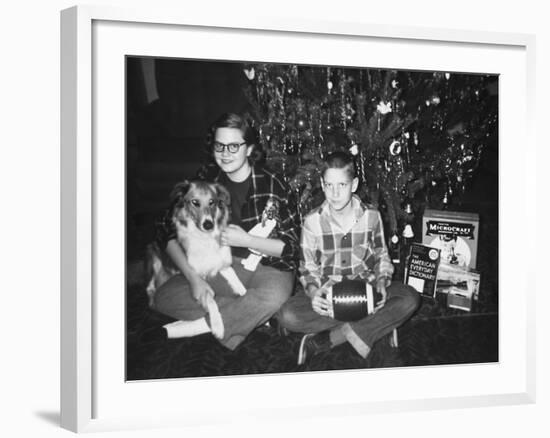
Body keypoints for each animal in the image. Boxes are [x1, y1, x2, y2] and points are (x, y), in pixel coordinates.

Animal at [148, 180, 249, 340]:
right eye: (195, 202)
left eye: (212, 202)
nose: (208, 225)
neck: (205, 238)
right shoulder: (199, 280)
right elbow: (211, 300)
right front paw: (217, 326)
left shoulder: (223, 264)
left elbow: (236, 280)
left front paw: (242, 291)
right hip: (155, 261)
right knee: (151, 288)